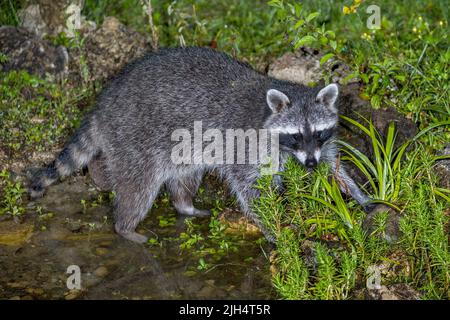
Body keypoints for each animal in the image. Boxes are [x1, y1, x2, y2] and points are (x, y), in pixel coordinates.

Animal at [30, 47, 372, 242]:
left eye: (318, 133)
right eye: (296, 135)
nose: (310, 164)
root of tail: (104, 104)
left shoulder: (320, 145)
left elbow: (333, 166)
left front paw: (359, 194)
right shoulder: (248, 145)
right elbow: (250, 188)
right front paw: (274, 227)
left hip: (182, 147)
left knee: (185, 177)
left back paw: (185, 205)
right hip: (134, 136)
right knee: (137, 186)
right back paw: (125, 227)